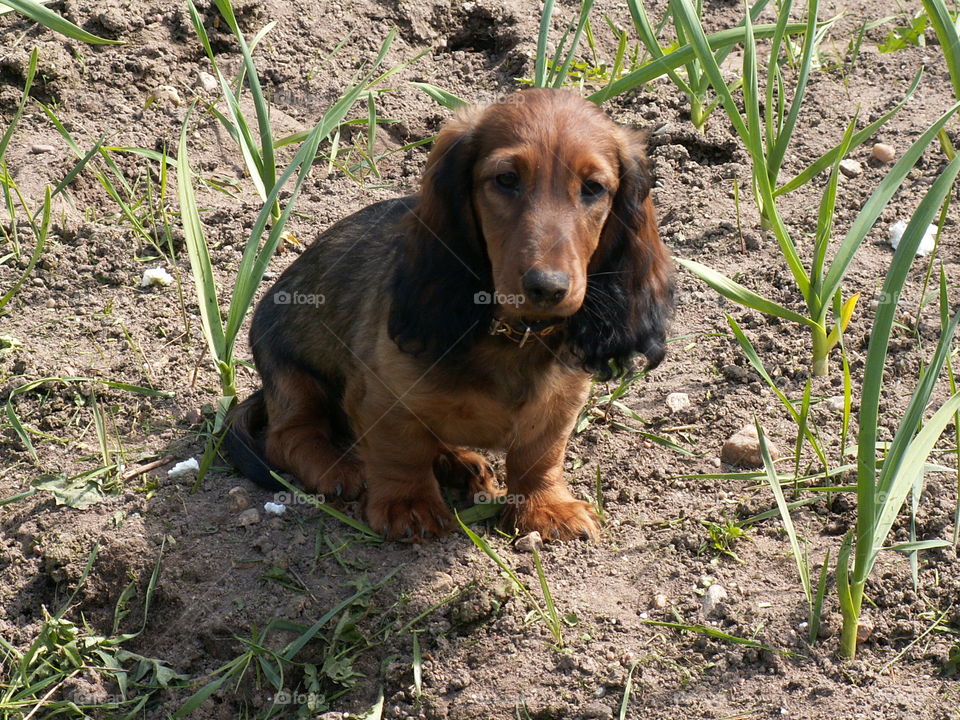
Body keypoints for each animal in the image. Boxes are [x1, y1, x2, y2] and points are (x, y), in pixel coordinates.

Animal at [228, 88, 672, 540]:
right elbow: (400, 452)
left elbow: (540, 454)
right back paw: (338, 468)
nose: (547, 287)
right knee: (289, 436)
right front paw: (409, 505)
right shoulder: (382, 395)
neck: (513, 335)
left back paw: (456, 461)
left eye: (594, 187)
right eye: (506, 179)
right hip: (293, 376)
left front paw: (546, 506)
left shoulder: (561, 401)